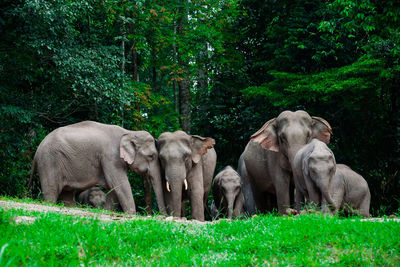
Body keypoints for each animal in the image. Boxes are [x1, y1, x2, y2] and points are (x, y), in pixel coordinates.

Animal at [28, 121, 165, 216]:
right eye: (151, 156)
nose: (162, 216)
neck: (129, 132)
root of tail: (37, 150)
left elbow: (113, 187)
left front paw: (108, 211)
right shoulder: (110, 157)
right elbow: (119, 183)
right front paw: (131, 214)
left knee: (67, 194)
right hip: (49, 161)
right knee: (51, 191)